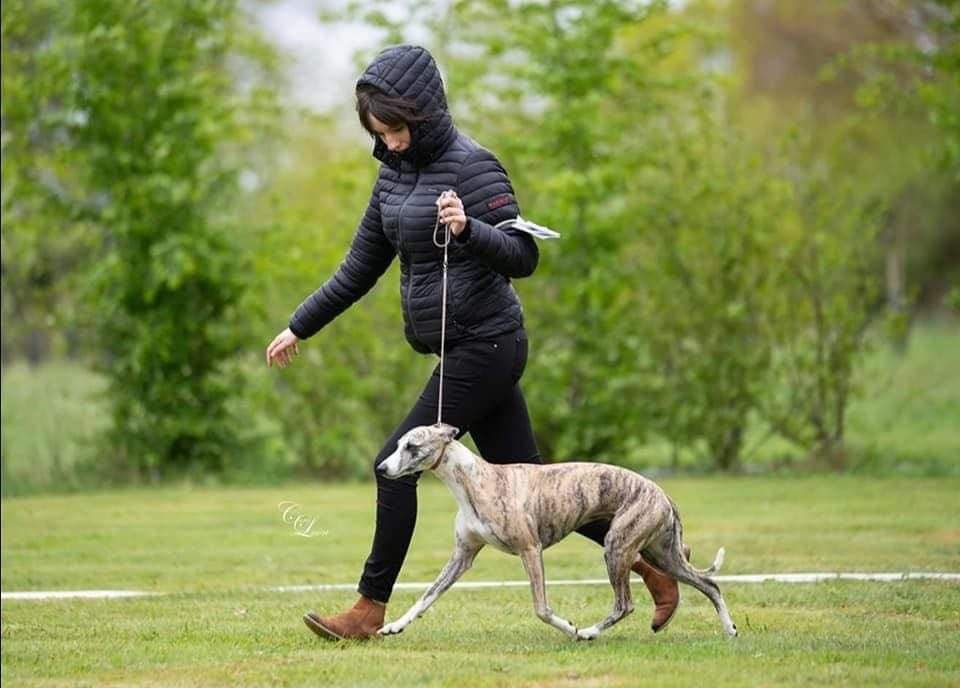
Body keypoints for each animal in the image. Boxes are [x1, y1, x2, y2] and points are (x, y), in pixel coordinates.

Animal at [374, 422, 736, 644]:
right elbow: (426, 596)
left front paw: (571, 628)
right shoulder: (463, 556)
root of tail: (661, 492)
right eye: (399, 444)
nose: (381, 468)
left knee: (625, 605)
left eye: (412, 446)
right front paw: (394, 625)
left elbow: (542, 609)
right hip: (660, 552)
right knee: (709, 583)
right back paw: (730, 629)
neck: (477, 481)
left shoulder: (530, 550)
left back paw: (588, 632)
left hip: (617, 546)